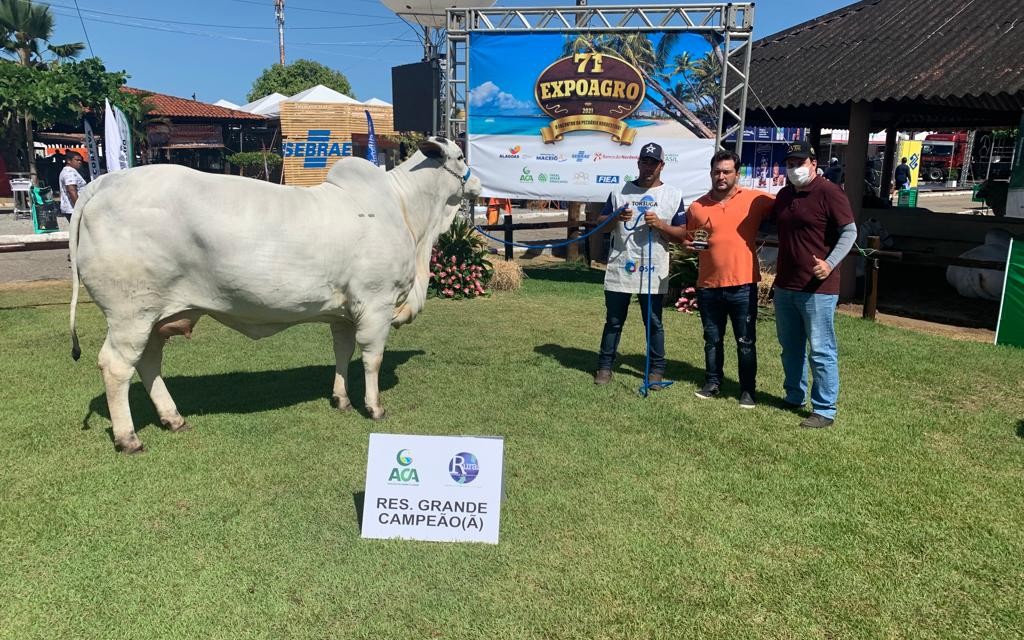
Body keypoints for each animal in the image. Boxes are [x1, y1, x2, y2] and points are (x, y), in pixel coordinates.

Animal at [72, 136, 479, 452]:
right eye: (460, 156)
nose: (475, 183)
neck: (408, 213)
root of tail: (104, 183)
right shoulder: (375, 303)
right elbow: (372, 358)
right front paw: (374, 407)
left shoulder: (344, 312)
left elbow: (342, 353)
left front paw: (341, 398)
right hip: (130, 313)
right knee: (116, 366)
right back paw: (128, 438)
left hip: (157, 316)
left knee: (148, 362)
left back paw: (173, 418)